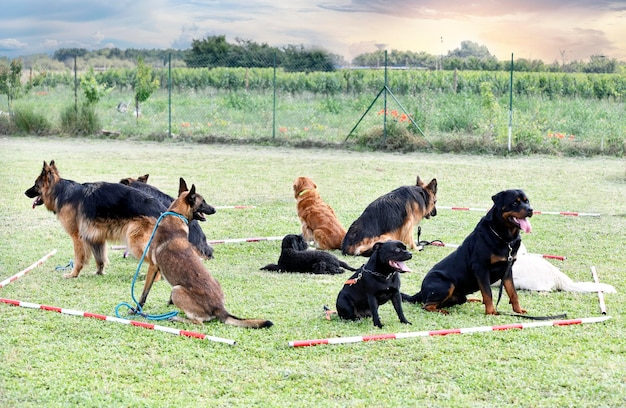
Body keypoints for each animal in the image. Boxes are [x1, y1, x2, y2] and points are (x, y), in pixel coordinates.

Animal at [24, 159, 168, 278]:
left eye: (35, 184)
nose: (25, 192)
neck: (60, 191)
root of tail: (162, 209)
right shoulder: (96, 238)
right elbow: (100, 259)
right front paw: (99, 272)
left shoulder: (78, 237)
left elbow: (78, 258)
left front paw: (73, 274)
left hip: (134, 242)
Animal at [139, 178, 270, 328]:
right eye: (203, 202)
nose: (214, 209)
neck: (176, 216)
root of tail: (220, 309)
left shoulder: (153, 266)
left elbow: (144, 293)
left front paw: (136, 310)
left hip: (177, 289)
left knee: (198, 322)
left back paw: (177, 318)